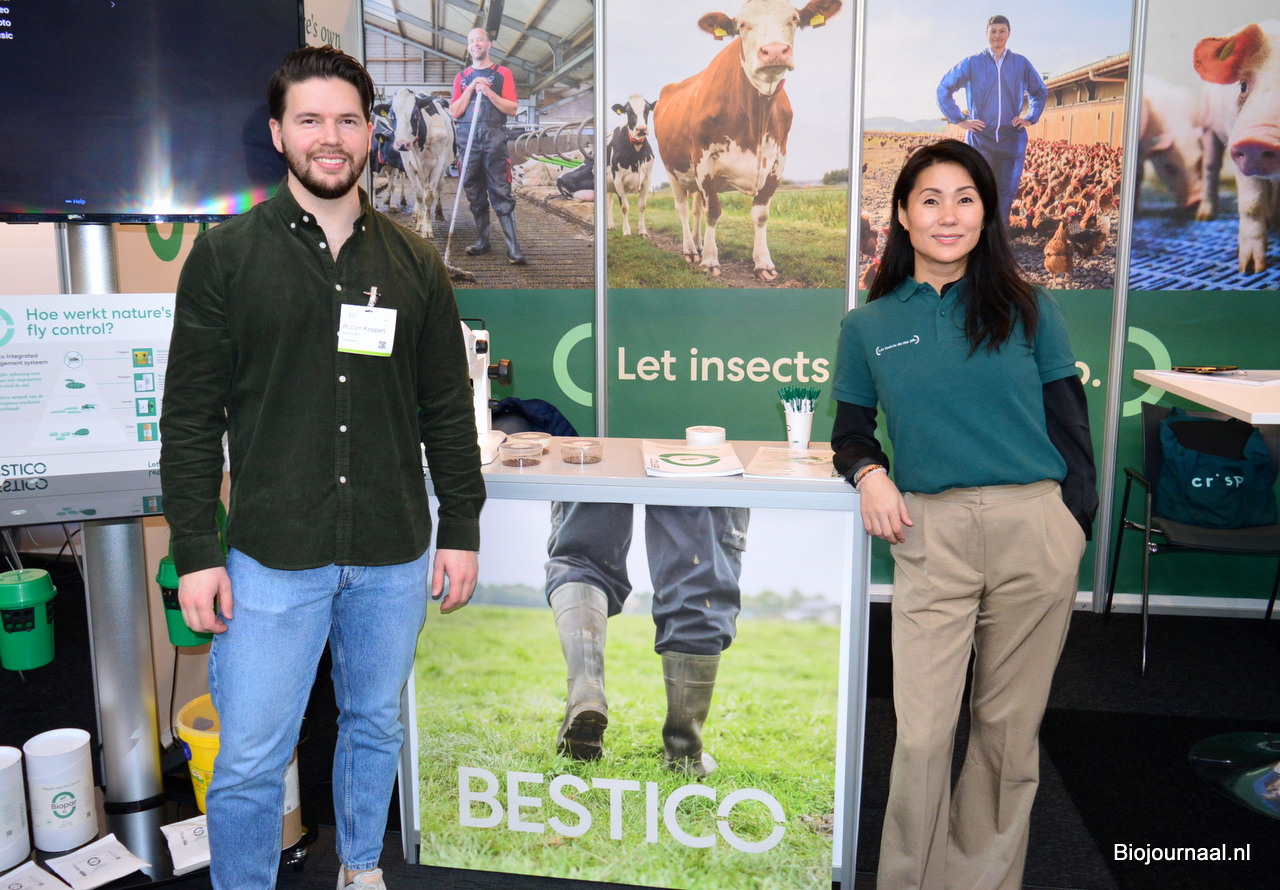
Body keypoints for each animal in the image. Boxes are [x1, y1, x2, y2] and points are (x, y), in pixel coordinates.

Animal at [390, 88, 455, 239]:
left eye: (415, 114)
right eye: (392, 115)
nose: (402, 144)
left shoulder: (438, 164)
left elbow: (429, 196)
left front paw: (427, 228)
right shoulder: (408, 165)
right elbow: (419, 195)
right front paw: (420, 223)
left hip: (443, 167)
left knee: (438, 187)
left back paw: (439, 212)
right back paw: (416, 215)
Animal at [606, 95, 656, 236]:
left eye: (647, 110)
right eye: (628, 112)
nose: (641, 129)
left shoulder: (646, 179)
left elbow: (642, 206)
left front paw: (643, 231)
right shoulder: (618, 180)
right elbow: (624, 207)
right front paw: (627, 231)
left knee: (609, 203)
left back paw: (611, 226)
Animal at [653, 0, 843, 280]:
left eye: (794, 18)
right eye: (742, 24)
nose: (774, 51)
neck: (756, 115)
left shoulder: (777, 162)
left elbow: (760, 215)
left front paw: (763, 263)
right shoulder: (704, 162)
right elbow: (713, 211)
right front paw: (710, 260)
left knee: (696, 207)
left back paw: (697, 244)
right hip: (672, 170)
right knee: (683, 208)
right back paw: (690, 250)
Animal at [1192, 21, 1280, 273]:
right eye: (1243, 86)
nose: (1257, 139)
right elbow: (1251, 203)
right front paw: (1251, 268)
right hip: (1208, 128)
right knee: (1210, 168)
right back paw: (1204, 217)